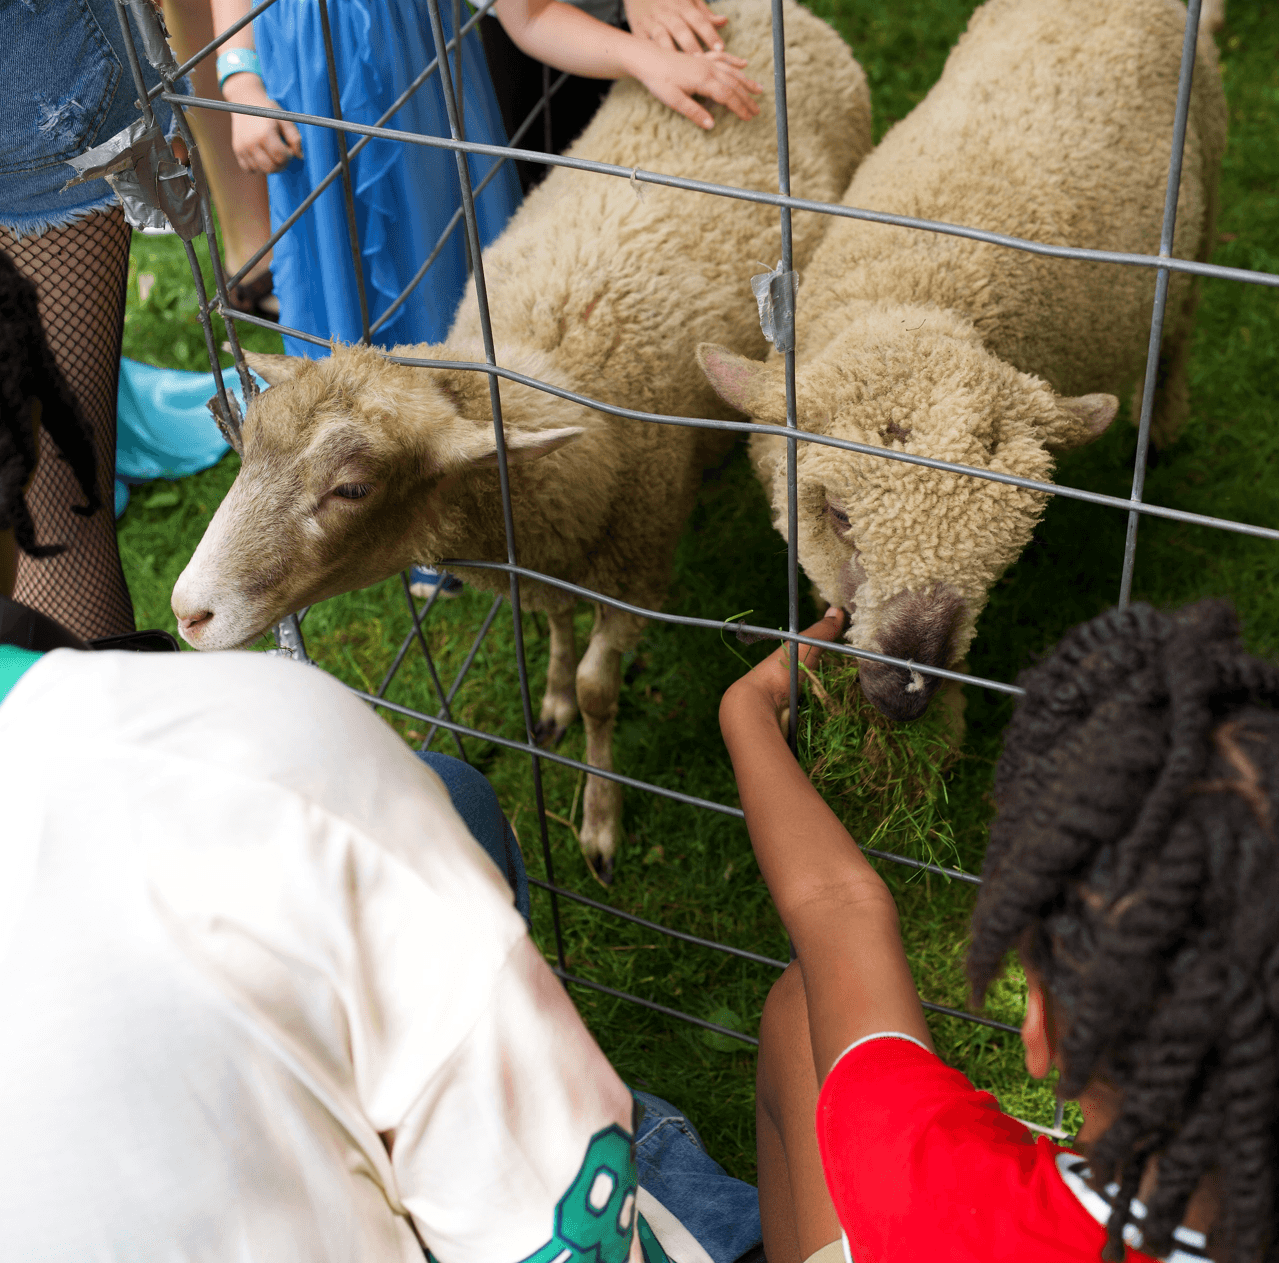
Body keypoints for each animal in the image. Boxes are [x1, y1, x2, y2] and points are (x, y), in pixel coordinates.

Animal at [170, 0, 872, 883]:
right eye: (246, 440)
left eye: (352, 488)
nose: (187, 612)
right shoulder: (547, 552)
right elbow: (555, 624)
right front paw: (554, 700)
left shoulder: (636, 565)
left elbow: (603, 688)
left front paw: (599, 819)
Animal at [698, 0, 1227, 724]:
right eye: (838, 516)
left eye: (1005, 551)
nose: (904, 694)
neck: (914, 288)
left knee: (1177, 333)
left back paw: (1162, 428)